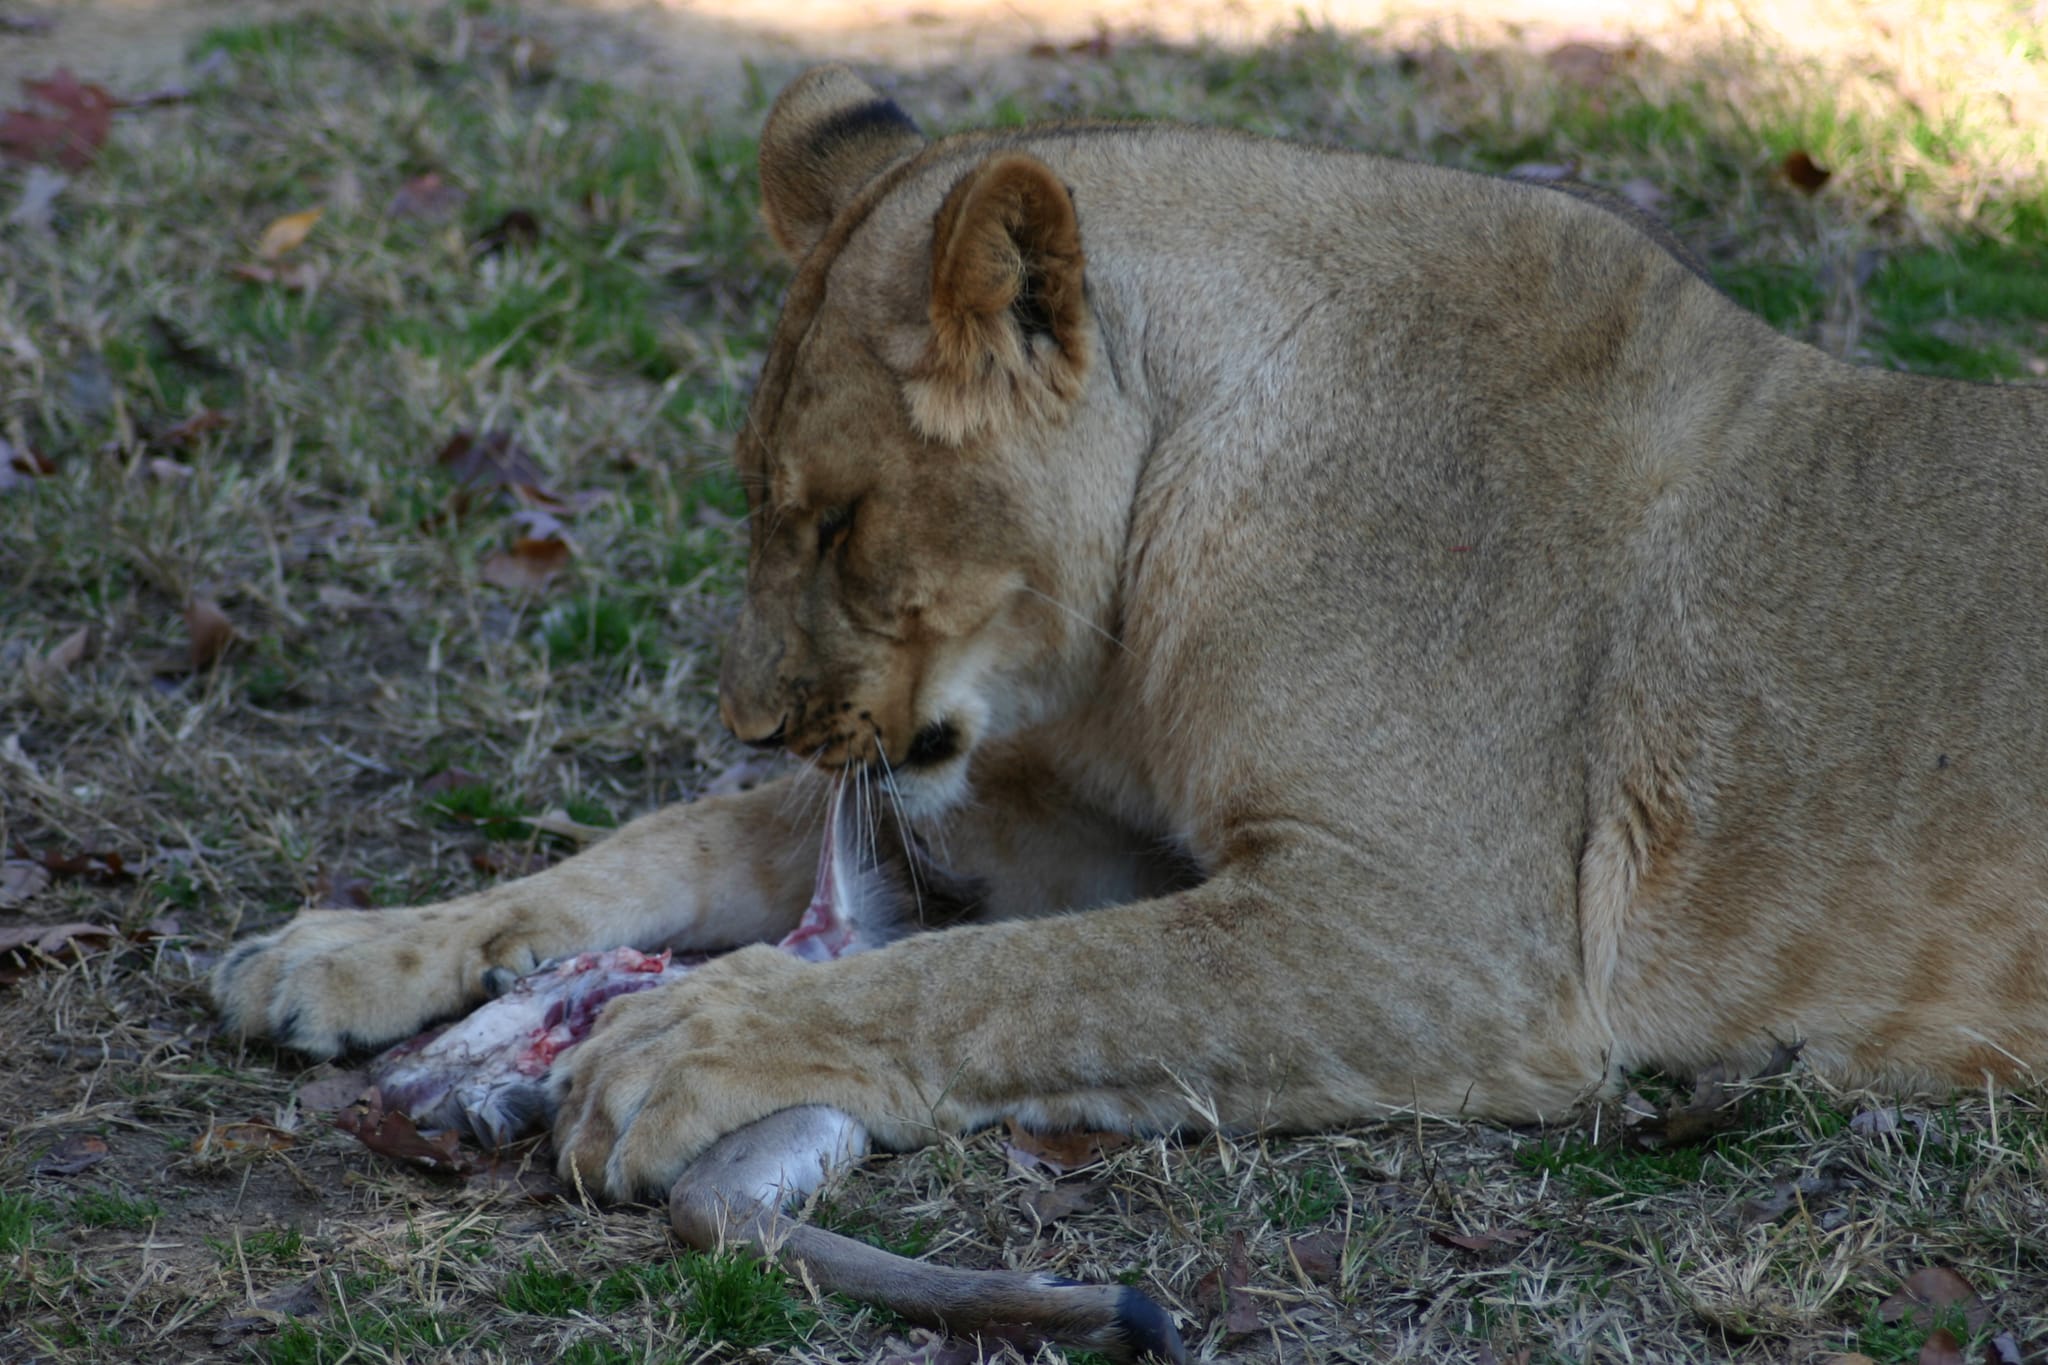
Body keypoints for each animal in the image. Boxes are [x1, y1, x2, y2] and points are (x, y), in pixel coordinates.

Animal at [216, 63, 2048, 1358]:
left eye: (839, 522)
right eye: (753, 502)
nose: (751, 715)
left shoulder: (1450, 937)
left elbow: (1012, 976)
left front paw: (694, 1043)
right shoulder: (1054, 821)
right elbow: (669, 844)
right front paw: (348, 948)